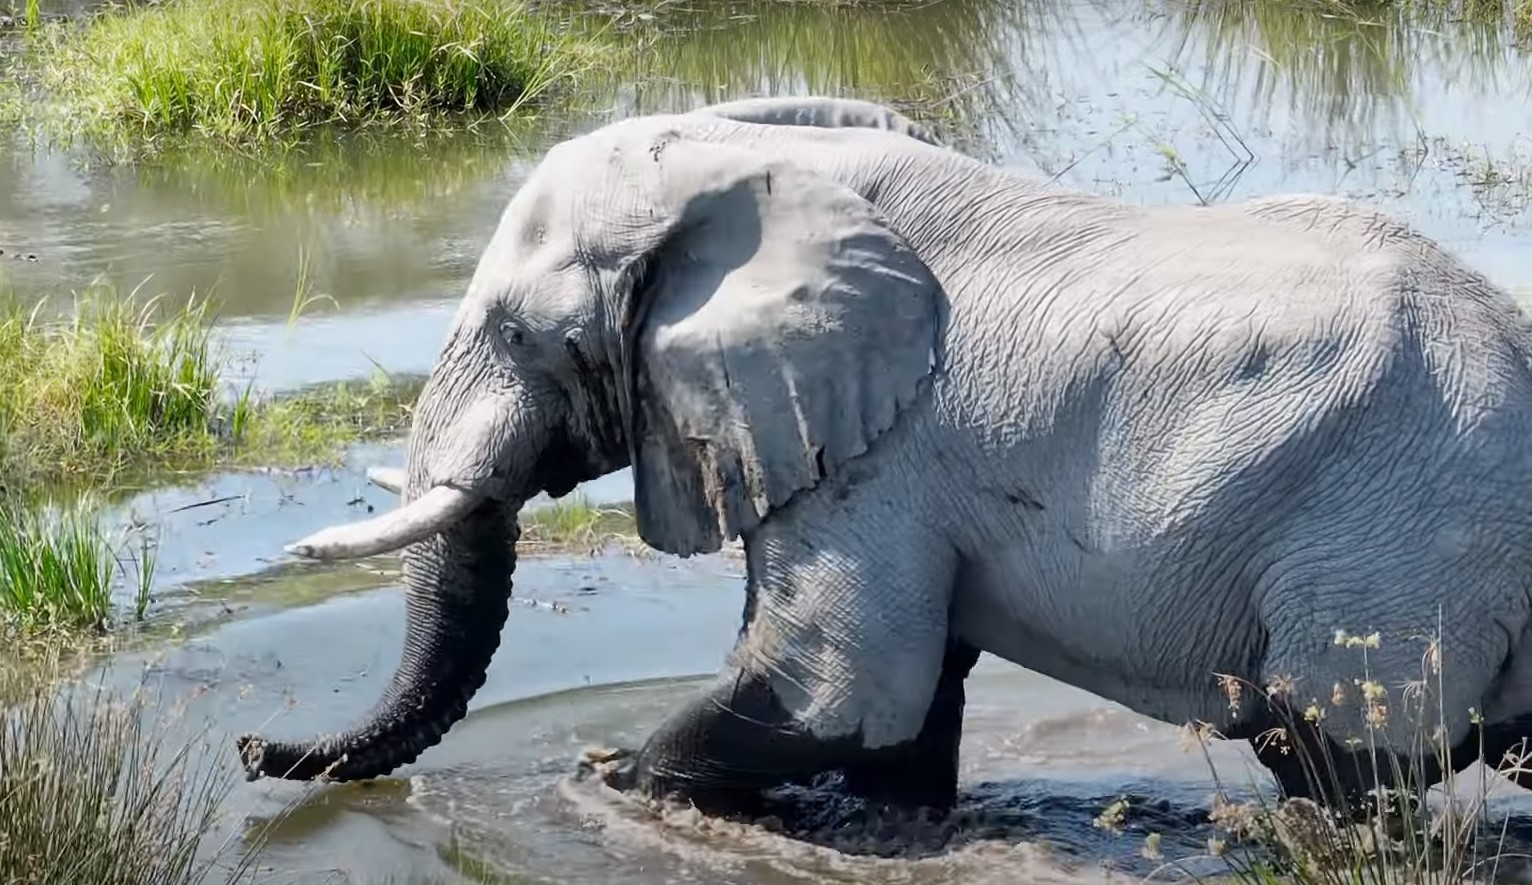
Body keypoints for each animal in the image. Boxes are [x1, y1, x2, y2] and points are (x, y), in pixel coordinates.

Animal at [229, 93, 1532, 814]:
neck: (736, 165)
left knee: (1327, 759)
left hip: (1389, 556)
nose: (247, 746)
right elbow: (901, 713)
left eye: (513, 334)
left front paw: (606, 783)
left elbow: (837, 693)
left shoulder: (885, 453)